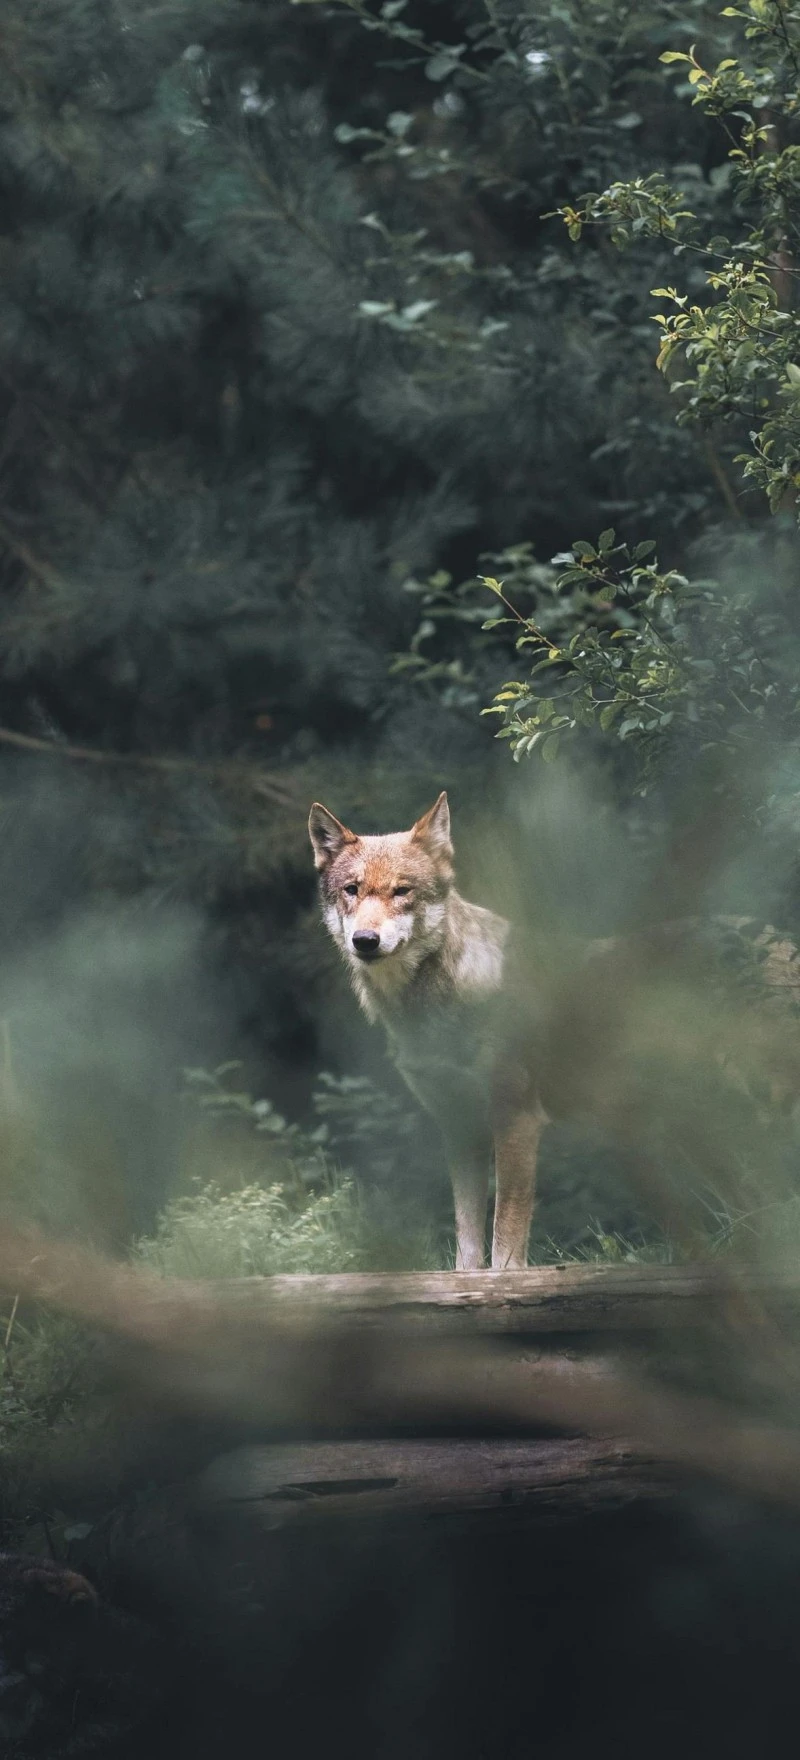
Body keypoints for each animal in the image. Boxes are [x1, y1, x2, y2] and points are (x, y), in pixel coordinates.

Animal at [309, 792, 542, 1270]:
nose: (365, 940)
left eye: (402, 891)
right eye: (352, 889)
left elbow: (504, 1240)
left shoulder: (516, 1119)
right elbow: (468, 1243)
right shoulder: (460, 1126)